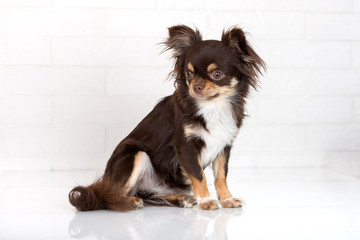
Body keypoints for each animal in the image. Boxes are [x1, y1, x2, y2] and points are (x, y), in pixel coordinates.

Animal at [69, 24, 266, 211]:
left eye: (217, 74)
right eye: (188, 74)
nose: (196, 87)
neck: (213, 106)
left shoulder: (224, 146)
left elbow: (221, 176)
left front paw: (227, 199)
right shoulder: (186, 147)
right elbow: (199, 175)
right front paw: (206, 200)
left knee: (150, 194)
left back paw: (181, 198)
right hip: (136, 156)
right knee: (110, 196)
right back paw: (130, 201)